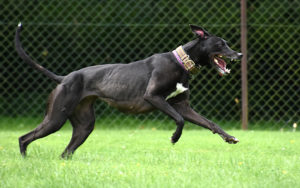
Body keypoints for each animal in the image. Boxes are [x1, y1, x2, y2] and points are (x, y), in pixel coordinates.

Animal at [15, 23, 243, 159]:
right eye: (220, 44)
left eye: (227, 43)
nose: (239, 54)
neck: (181, 62)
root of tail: (65, 78)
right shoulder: (153, 97)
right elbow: (179, 120)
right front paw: (174, 138)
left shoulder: (183, 106)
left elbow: (209, 123)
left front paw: (229, 137)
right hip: (55, 118)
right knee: (24, 138)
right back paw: (25, 159)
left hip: (84, 125)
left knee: (65, 152)